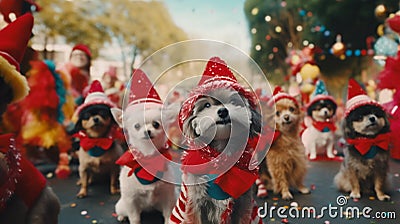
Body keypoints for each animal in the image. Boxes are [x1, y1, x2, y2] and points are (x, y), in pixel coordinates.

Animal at [111, 69, 177, 223]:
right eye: (136, 126)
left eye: (156, 124)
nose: (147, 131)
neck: (149, 158)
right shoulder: (131, 200)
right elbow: (134, 217)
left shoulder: (168, 196)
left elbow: (168, 214)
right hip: (122, 205)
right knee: (123, 211)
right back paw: (121, 217)